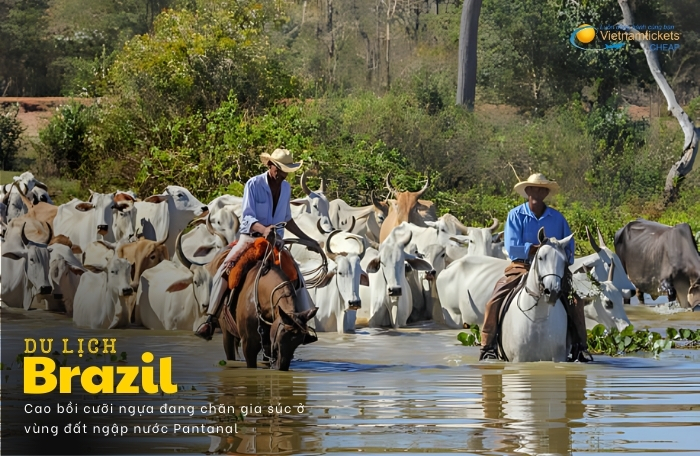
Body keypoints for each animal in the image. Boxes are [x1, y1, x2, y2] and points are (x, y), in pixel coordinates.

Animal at [498, 228, 576, 364]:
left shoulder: (559, 358)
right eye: (540, 258)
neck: (538, 318)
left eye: (565, 261)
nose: (552, 292)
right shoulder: (518, 359)